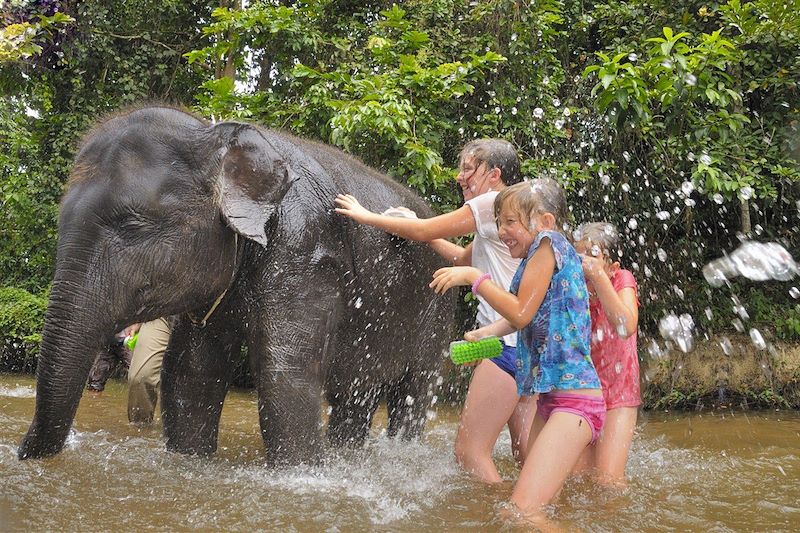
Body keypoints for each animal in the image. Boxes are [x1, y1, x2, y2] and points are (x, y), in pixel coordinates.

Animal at [18, 105, 454, 462]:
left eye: (133, 225)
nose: (21, 452)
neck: (217, 136)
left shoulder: (306, 251)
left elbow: (284, 376)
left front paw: (302, 474)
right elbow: (191, 371)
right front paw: (189, 463)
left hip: (438, 312)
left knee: (413, 390)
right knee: (355, 390)